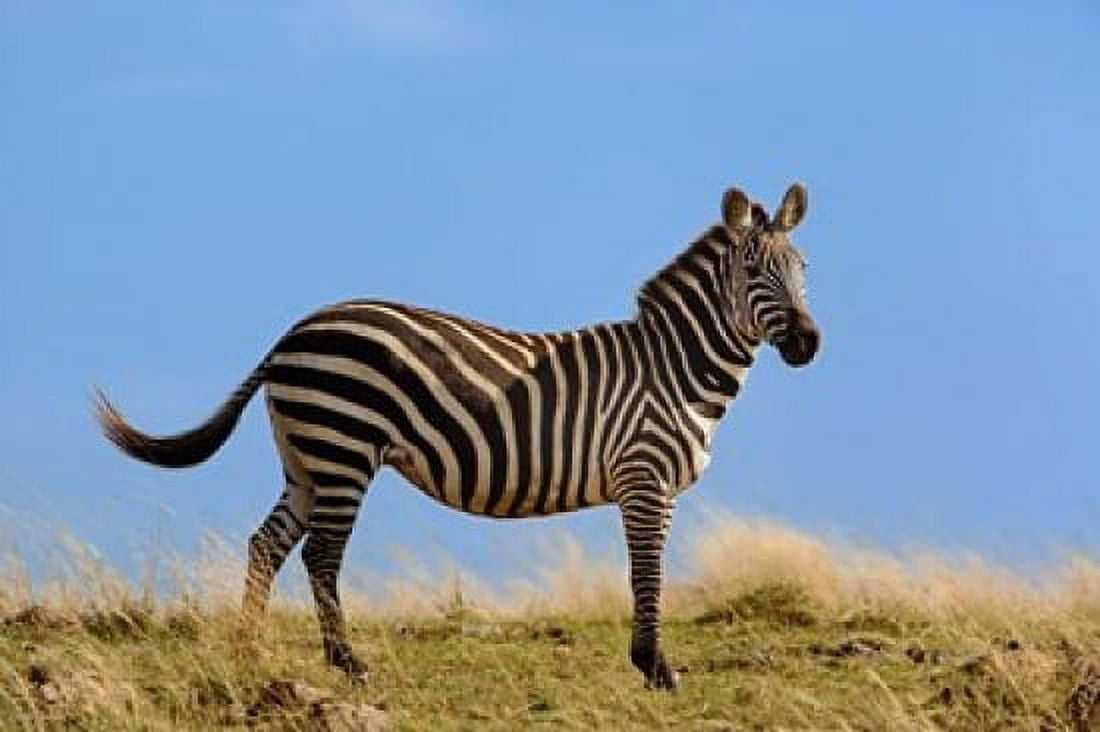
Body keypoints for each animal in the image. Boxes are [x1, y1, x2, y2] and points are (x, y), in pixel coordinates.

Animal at [95, 183, 820, 690]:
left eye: (804, 268)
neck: (674, 369)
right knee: (321, 558)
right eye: (753, 271)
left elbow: (648, 573)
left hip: (306, 458)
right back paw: (348, 663)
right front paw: (654, 667)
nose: (809, 344)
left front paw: (652, 664)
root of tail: (289, 336)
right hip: (344, 448)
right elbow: (649, 572)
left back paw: (248, 649)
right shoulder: (645, 478)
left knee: (266, 545)